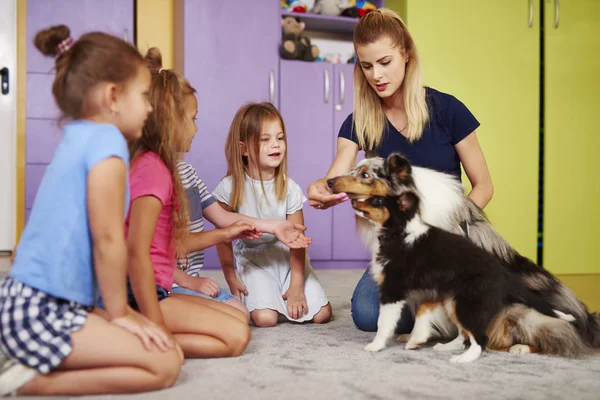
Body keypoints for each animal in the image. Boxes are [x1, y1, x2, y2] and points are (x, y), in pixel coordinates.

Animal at [328, 153, 600, 360]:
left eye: (365, 175)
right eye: (354, 168)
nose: (329, 181)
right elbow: (424, 308)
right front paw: (415, 336)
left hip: (514, 312)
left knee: (551, 336)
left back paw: (519, 347)